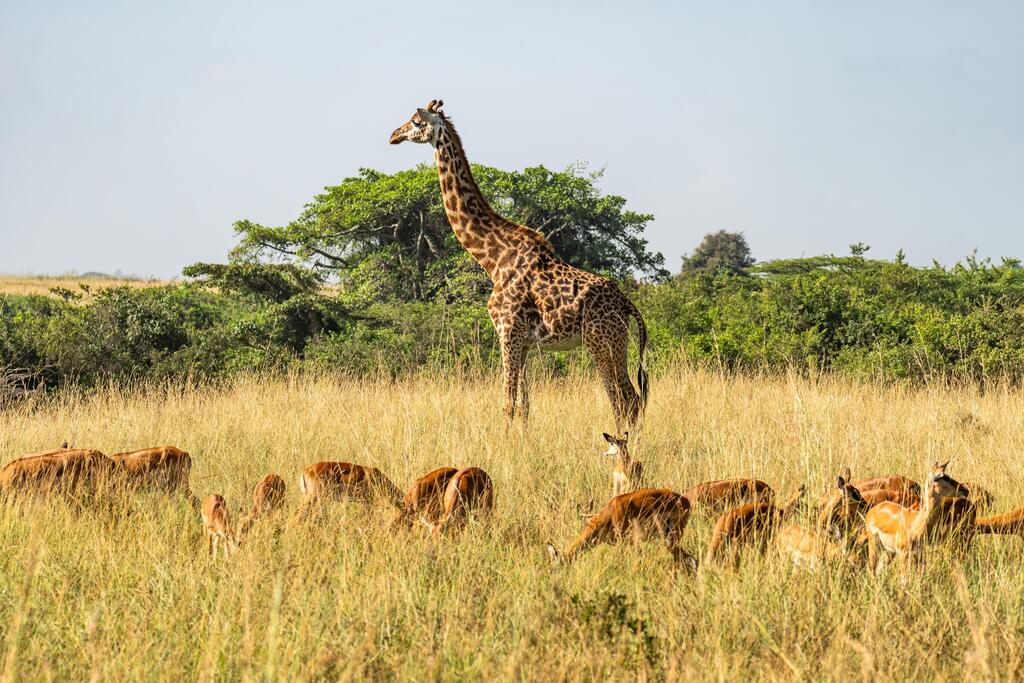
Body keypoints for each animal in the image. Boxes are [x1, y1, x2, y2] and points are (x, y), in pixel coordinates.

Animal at [390, 99, 649, 428]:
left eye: (414, 121)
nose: (393, 135)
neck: (493, 258)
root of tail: (627, 304)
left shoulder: (507, 332)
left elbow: (507, 405)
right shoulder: (523, 342)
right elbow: (524, 407)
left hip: (602, 342)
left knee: (625, 401)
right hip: (614, 343)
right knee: (630, 401)